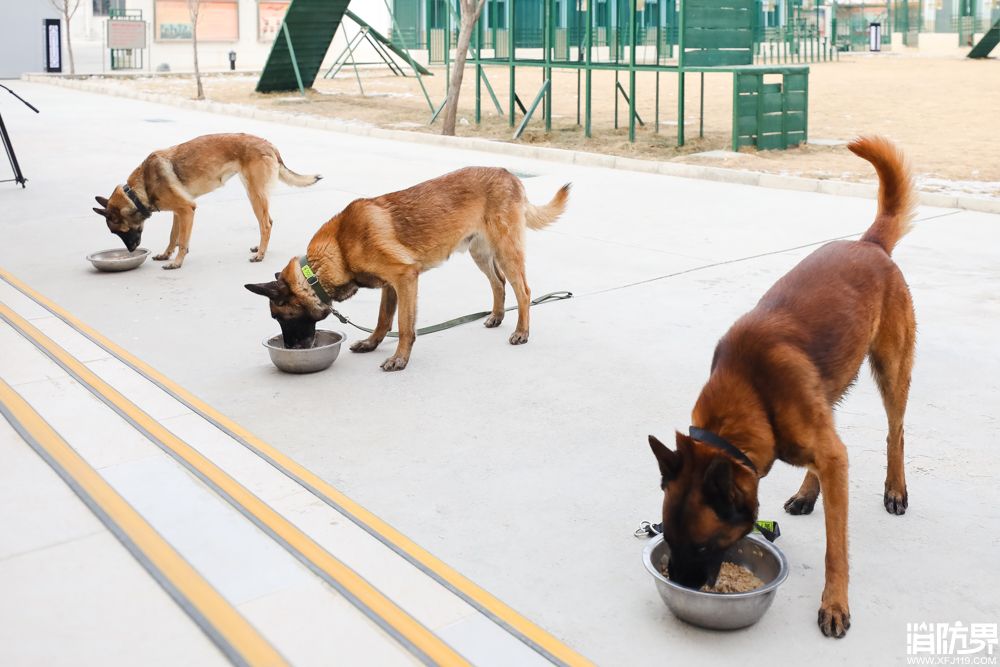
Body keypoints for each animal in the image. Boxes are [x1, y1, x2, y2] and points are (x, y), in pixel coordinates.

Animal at [92, 133, 320, 268]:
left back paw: (260, 255)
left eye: (119, 232)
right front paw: (166, 255)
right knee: (268, 222)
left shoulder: (187, 209)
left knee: (266, 224)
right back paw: (259, 248)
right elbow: (173, 237)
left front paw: (177, 262)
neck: (138, 190)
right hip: (253, 193)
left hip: (255, 195)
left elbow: (182, 242)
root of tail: (269, 144)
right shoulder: (178, 213)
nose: (131, 251)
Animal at [244, 167, 572, 374]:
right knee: (498, 283)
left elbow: (403, 326)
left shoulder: (405, 278)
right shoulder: (390, 285)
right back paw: (497, 316)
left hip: (506, 252)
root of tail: (509, 175)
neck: (335, 251)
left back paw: (521, 331)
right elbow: (383, 319)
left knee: (524, 291)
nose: (290, 348)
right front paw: (371, 343)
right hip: (480, 253)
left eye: (280, 317)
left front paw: (399, 359)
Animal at [648, 137, 916, 640]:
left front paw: (835, 604)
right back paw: (808, 492)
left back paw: (895, 489)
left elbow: (836, 547)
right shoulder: (821, 442)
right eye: (666, 536)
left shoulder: (831, 453)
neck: (751, 392)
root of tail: (869, 245)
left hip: (891, 372)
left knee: (896, 432)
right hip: (831, 395)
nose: (679, 585)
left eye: (701, 546)